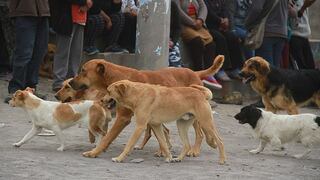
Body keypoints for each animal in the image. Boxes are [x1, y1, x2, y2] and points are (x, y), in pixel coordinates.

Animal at [70, 54, 225, 158]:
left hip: (196, 115)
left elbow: (107, 137)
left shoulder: (123, 118)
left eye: (83, 70)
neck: (116, 77)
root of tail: (194, 72)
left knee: (200, 133)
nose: (70, 82)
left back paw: (197, 149)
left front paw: (94, 152)